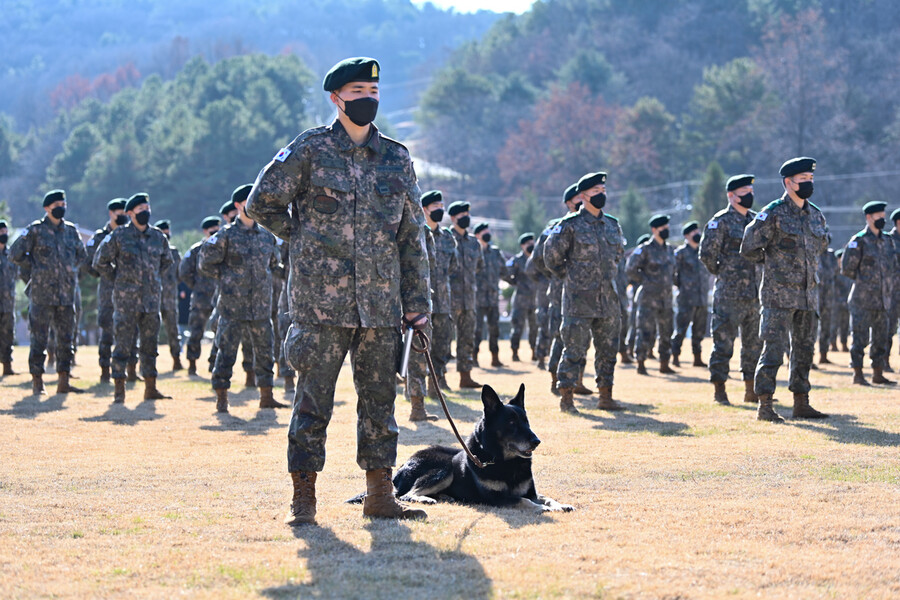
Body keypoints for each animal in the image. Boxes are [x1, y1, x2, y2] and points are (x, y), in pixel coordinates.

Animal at [348, 382, 572, 512]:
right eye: (511, 423)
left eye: (526, 421)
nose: (536, 441)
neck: (503, 461)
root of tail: (402, 466)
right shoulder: (496, 498)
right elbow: (524, 502)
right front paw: (545, 509)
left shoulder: (532, 493)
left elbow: (547, 498)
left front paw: (560, 505)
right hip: (443, 468)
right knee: (407, 494)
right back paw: (427, 499)